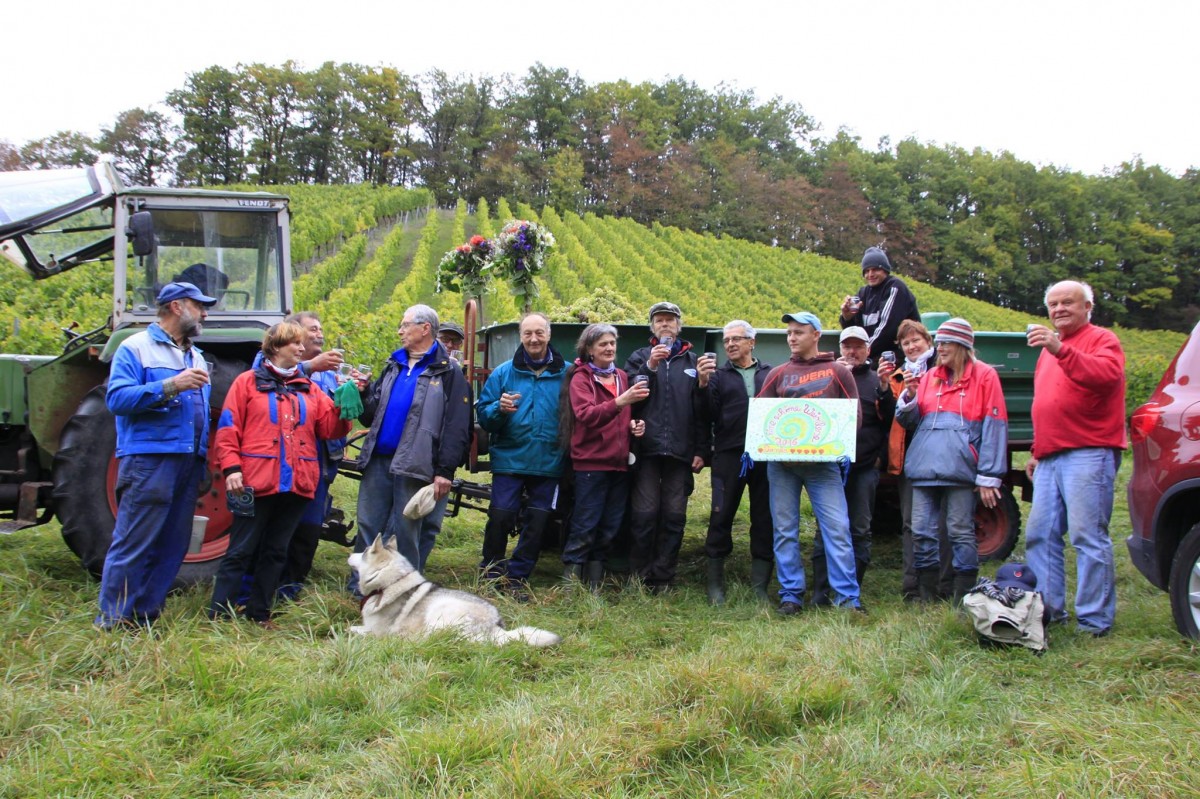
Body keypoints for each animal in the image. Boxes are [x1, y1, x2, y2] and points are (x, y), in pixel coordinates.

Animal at [347, 535, 561, 647]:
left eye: (364, 551)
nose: (349, 554)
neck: (388, 584)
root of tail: (496, 628)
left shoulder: (377, 631)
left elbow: (354, 629)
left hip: (441, 610)